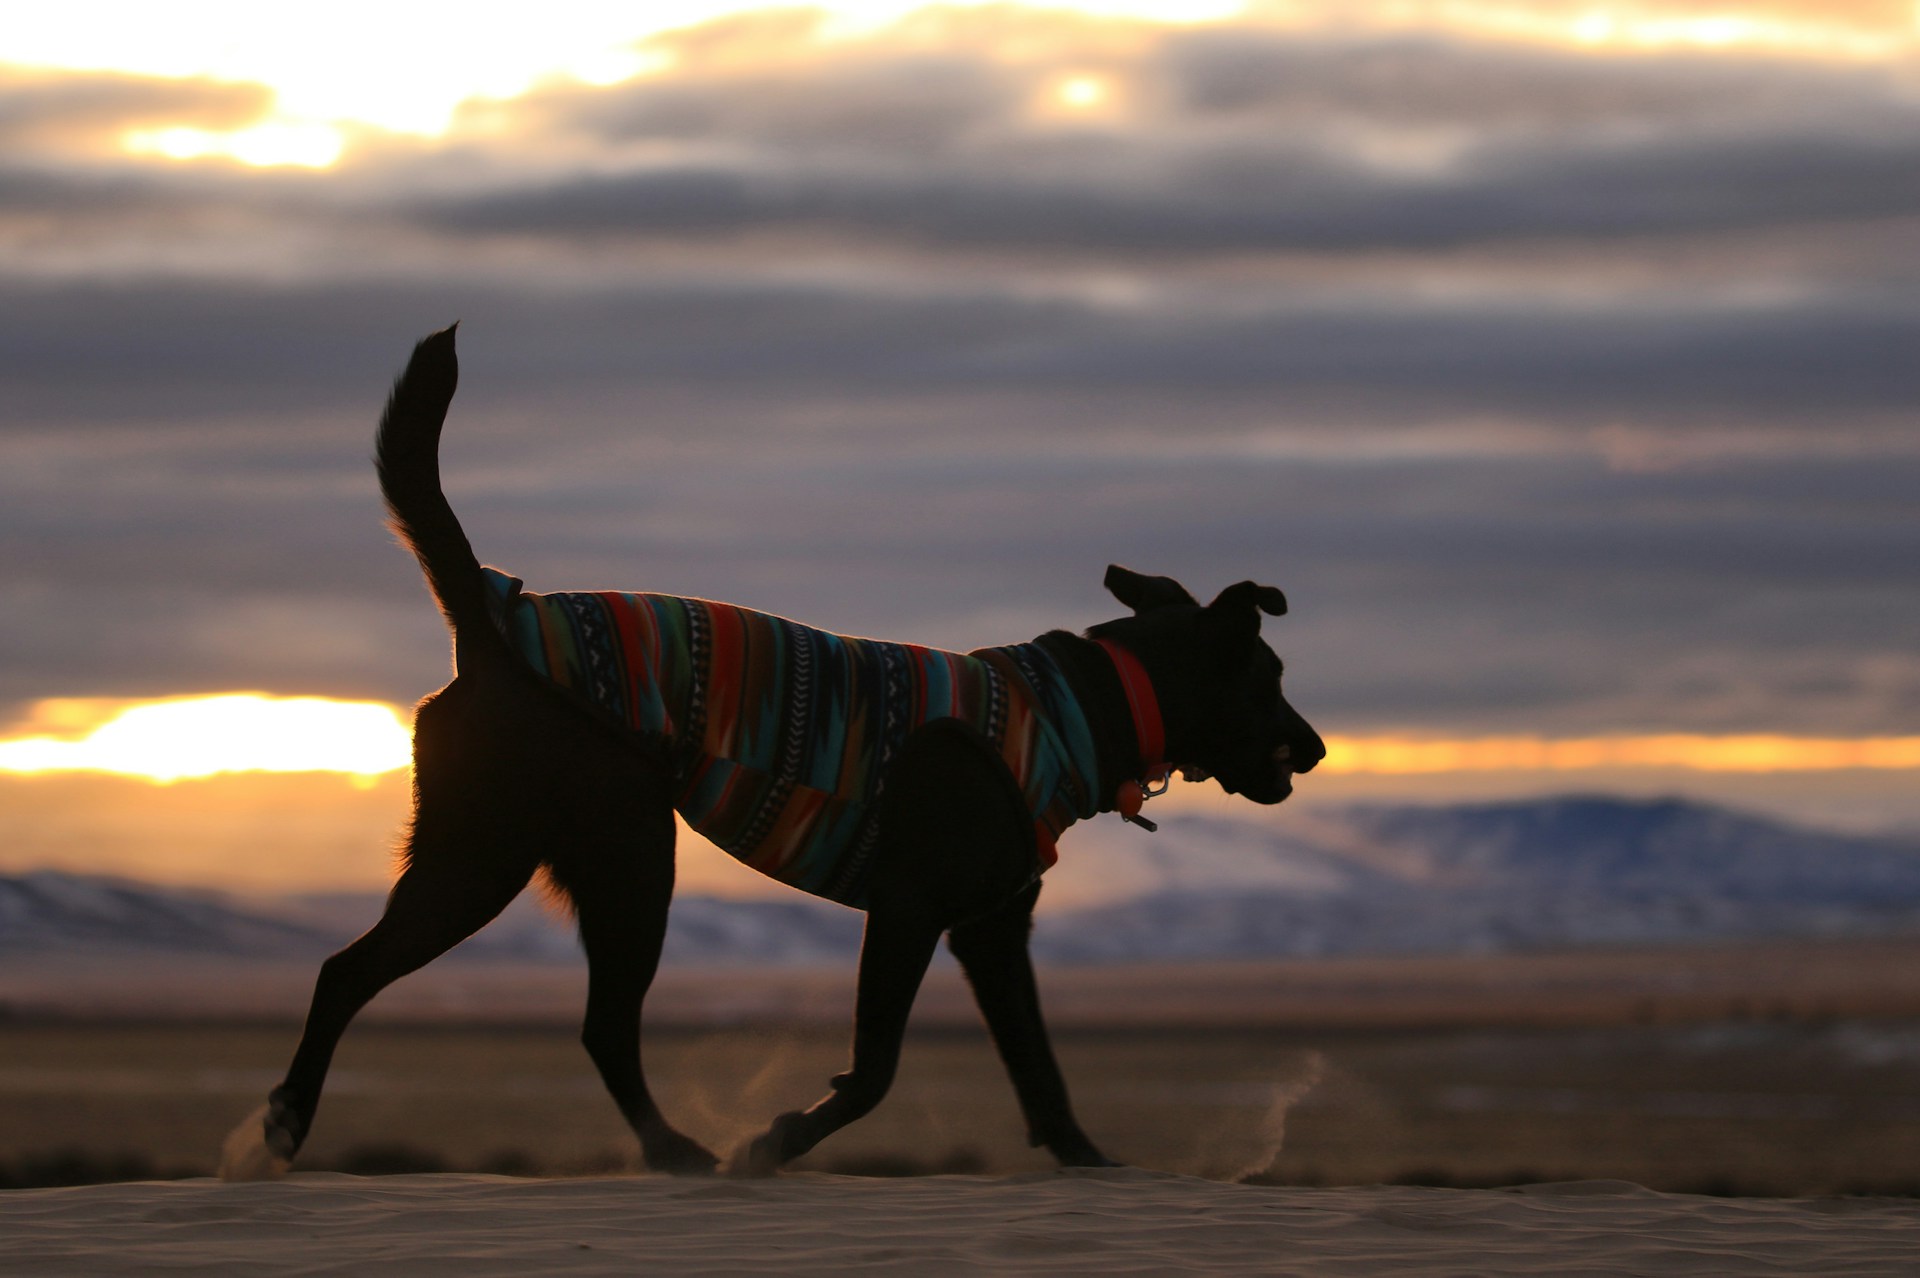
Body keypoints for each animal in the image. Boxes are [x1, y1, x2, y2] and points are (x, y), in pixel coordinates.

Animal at [214, 326, 1320, 1174]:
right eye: (1268, 677)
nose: (1311, 749)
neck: (1078, 705)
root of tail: (495, 620)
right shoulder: (910, 910)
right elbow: (874, 1071)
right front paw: (781, 1138)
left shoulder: (992, 934)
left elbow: (1039, 1067)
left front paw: (1088, 1159)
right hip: (575, 857)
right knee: (511, 1004)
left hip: (517, 856)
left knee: (387, 980)